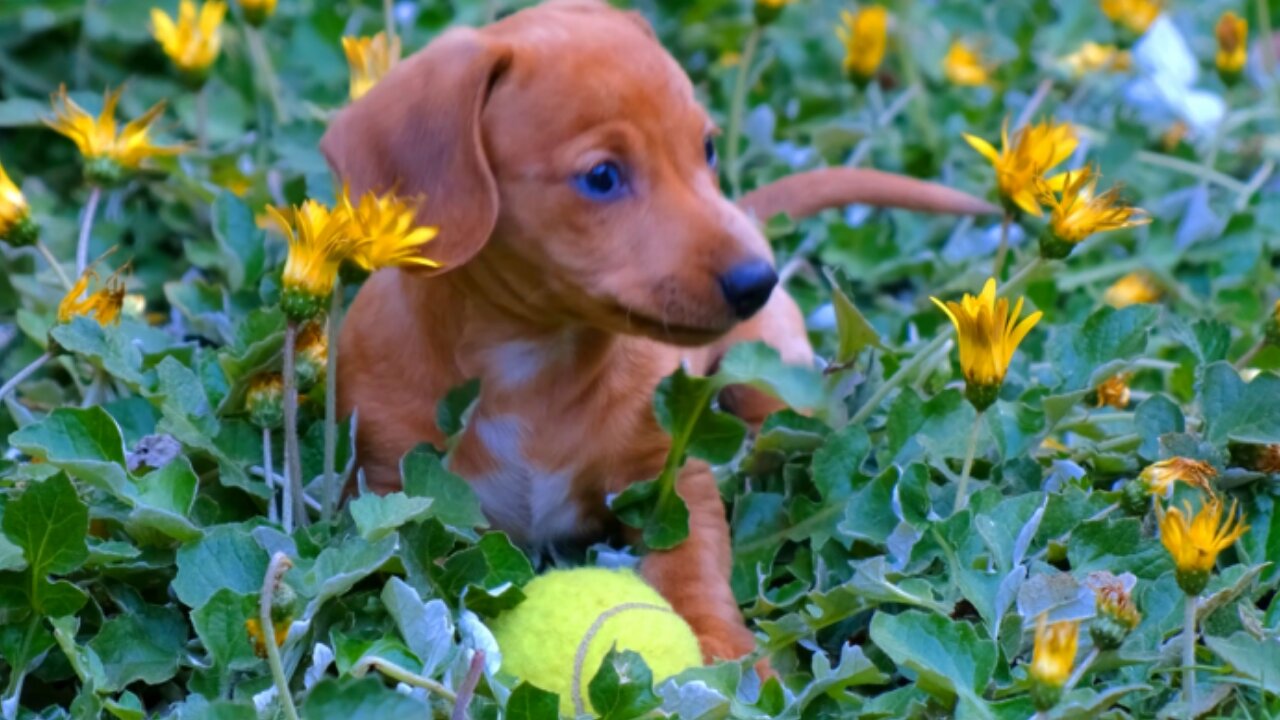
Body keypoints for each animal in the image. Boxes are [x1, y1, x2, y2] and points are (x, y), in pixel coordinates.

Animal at [320, 0, 988, 661]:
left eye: (708, 149)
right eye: (601, 176)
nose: (759, 279)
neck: (532, 364)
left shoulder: (671, 482)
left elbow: (692, 563)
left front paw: (720, 648)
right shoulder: (392, 494)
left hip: (775, 382)